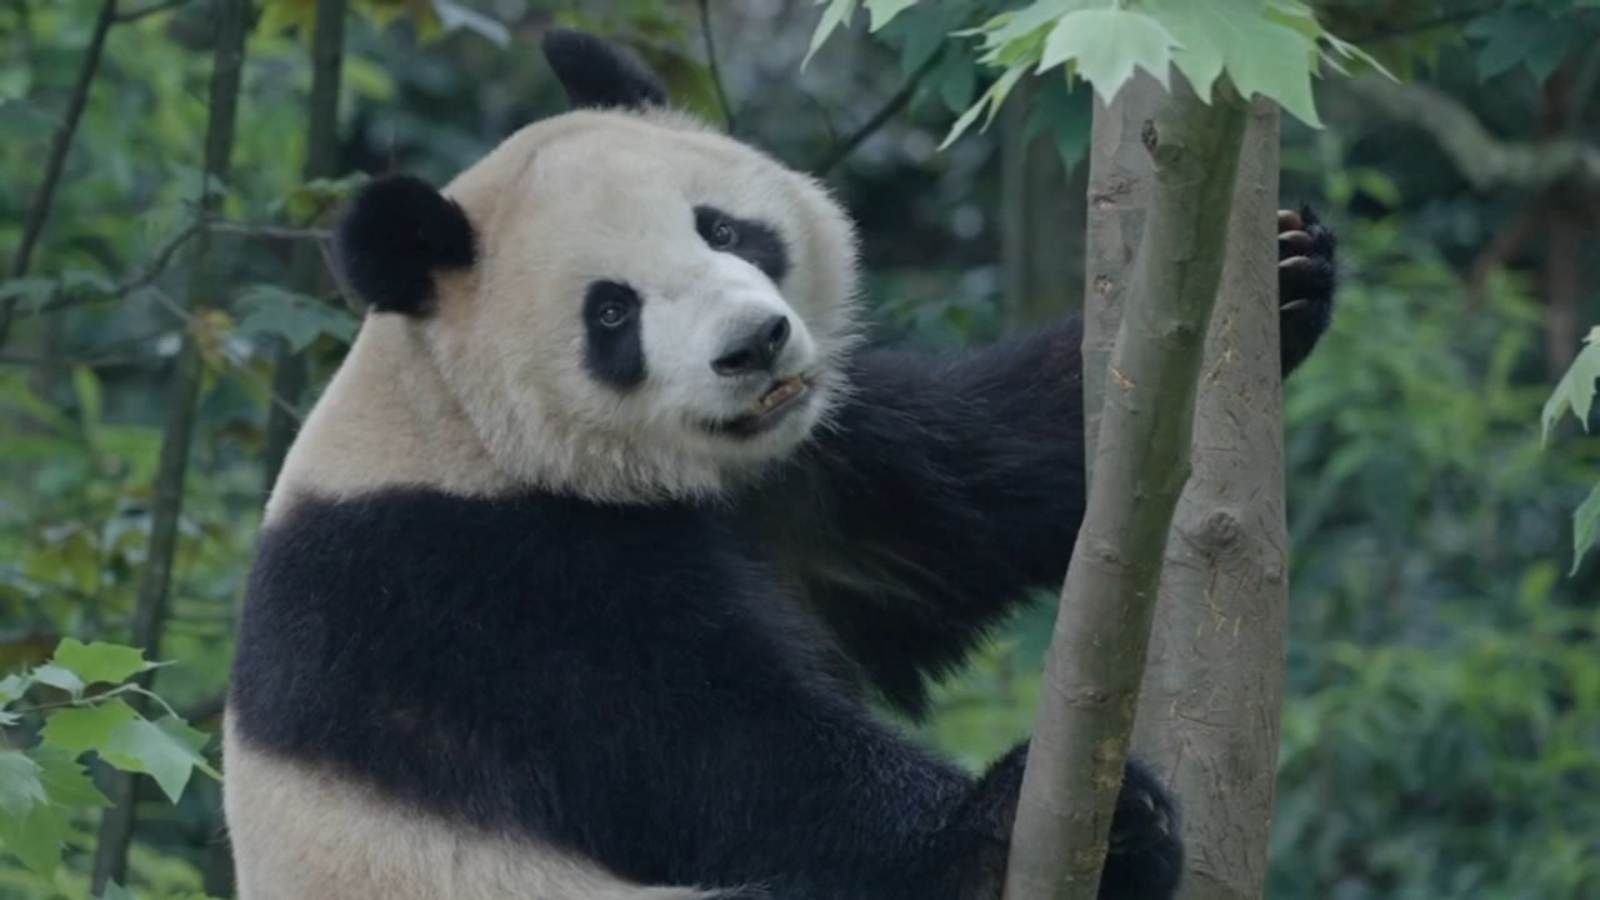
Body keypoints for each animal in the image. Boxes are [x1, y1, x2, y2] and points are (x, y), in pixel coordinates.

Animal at [221, 28, 1339, 900]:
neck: (461, 427)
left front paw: (1284, 277)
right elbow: (714, 753)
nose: (752, 345)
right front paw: (1009, 829)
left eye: (723, 228)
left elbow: (970, 498)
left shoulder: (807, 471)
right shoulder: (467, 580)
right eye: (612, 311)